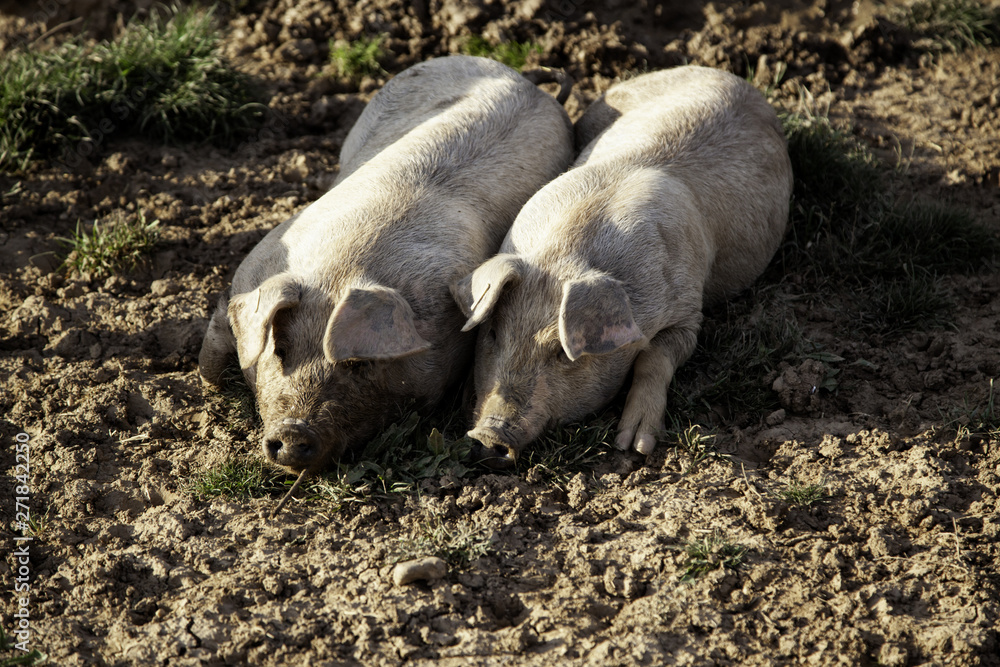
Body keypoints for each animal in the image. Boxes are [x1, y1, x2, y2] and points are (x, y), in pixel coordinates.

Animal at [199, 57, 576, 474]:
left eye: (358, 364)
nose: (294, 433)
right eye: (280, 349)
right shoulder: (248, 274)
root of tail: (526, 81)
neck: (339, 271)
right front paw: (209, 383)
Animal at [452, 66, 788, 464]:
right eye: (492, 334)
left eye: (562, 353)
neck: (564, 255)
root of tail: (732, 77)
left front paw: (635, 446)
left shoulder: (690, 310)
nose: (488, 435)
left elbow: (655, 357)